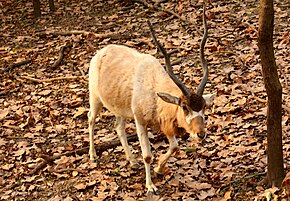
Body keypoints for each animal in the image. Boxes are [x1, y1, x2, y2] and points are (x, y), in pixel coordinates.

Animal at [87, 4, 214, 193]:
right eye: (184, 107)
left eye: (204, 106)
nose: (201, 134)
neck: (154, 86)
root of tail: (101, 52)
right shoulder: (140, 122)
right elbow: (147, 155)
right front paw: (150, 186)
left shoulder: (164, 123)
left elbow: (174, 146)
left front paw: (159, 168)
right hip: (95, 98)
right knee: (91, 119)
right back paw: (93, 155)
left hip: (121, 109)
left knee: (118, 127)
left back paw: (132, 161)